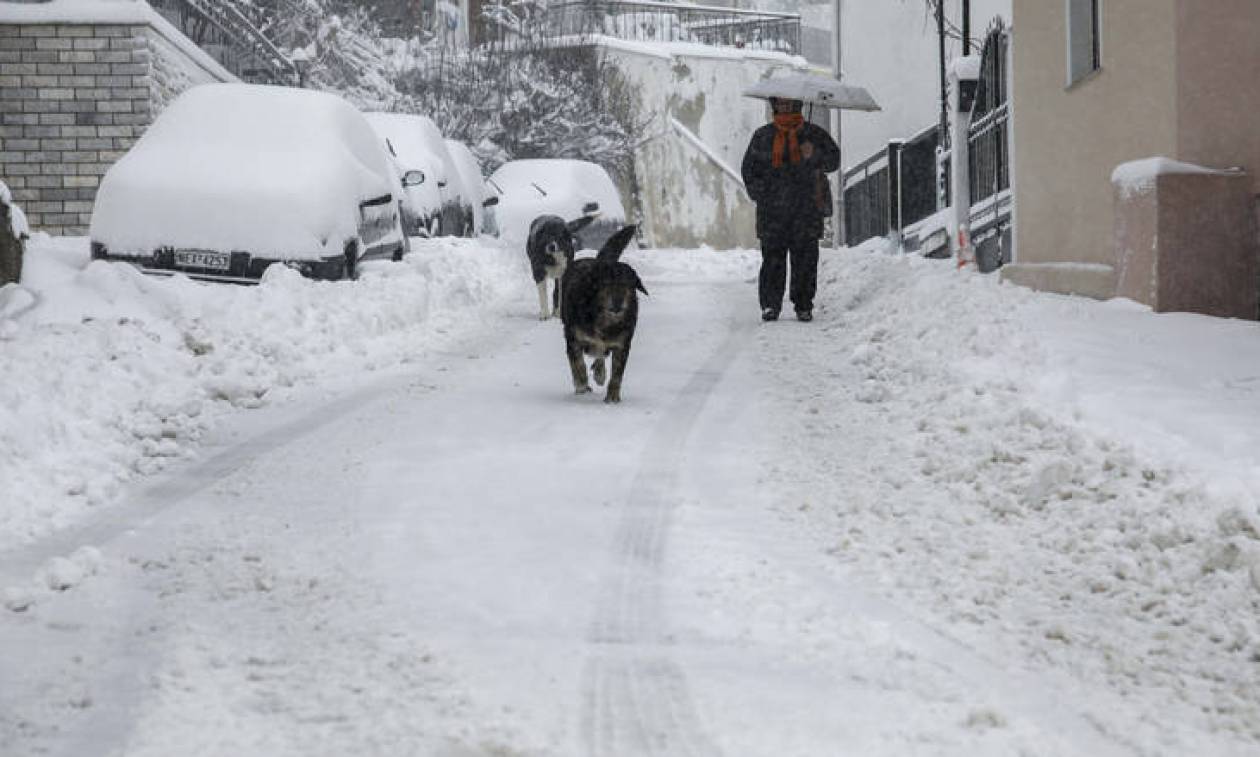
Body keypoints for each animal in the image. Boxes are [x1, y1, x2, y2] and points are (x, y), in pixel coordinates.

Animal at [559, 222, 645, 405]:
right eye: (606, 283)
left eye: (627, 284)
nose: (618, 302)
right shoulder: (573, 338)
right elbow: (578, 364)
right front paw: (581, 384)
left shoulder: (622, 344)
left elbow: (617, 374)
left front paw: (612, 396)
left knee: (601, 355)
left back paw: (599, 373)